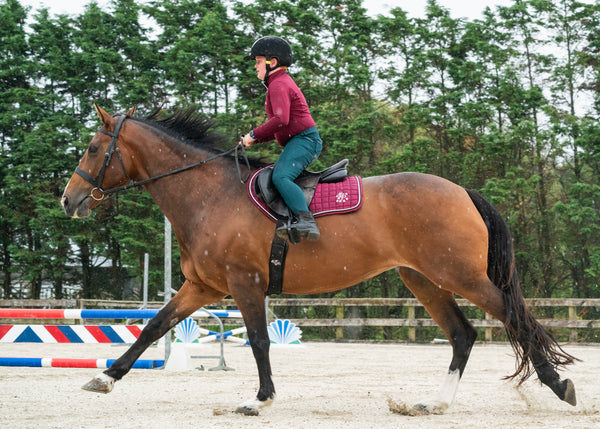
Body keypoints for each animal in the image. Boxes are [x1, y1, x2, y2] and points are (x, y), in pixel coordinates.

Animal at [61, 103, 576, 414]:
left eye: (93, 148)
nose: (69, 201)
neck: (209, 195)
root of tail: (462, 191)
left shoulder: (245, 284)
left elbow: (258, 340)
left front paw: (261, 399)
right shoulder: (203, 286)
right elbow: (153, 327)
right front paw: (106, 377)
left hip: (460, 275)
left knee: (514, 316)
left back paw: (558, 385)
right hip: (423, 280)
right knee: (463, 334)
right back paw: (436, 404)